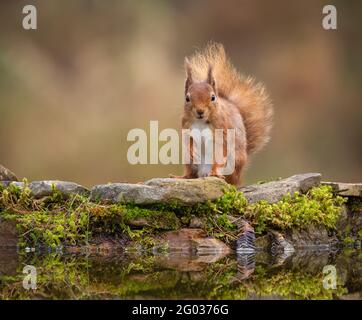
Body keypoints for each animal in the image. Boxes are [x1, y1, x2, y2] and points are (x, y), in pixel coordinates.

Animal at [177, 43, 272, 186]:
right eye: (187, 98)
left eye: (213, 97)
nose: (200, 111)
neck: (201, 122)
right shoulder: (186, 126)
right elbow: (189, 140)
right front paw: (191, 149)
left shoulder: (222, 130)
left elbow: (221, 148)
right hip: (189, 163)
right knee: (191, 173)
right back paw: (182, 177)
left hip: (232, 162)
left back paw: (215, 174)